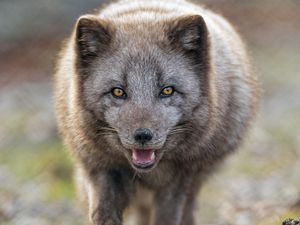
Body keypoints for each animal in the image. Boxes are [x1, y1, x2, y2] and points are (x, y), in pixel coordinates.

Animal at [54, 0, 260, 225]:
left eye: (167, 90)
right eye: (118, 91)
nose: (143, 136)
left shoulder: (179, 181)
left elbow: (167, 217)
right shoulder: (100, 170)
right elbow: (103, 214)